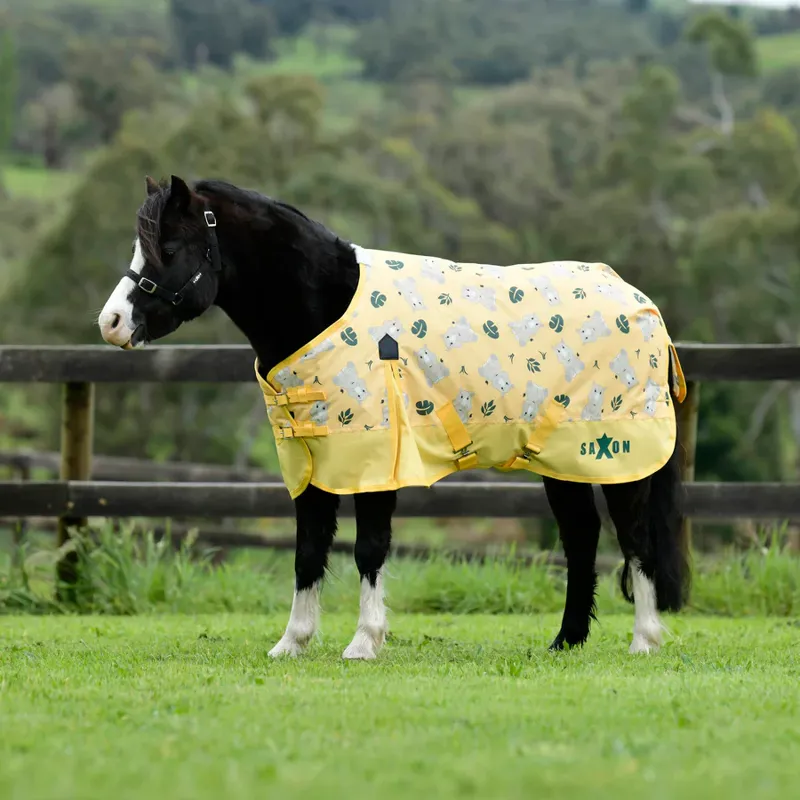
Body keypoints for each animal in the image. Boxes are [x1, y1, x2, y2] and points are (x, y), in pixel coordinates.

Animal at [98, 175, 690, 660]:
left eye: (168, 247)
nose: (112, 322)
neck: (325, 307)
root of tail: (641, 303)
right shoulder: (309, 463)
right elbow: (308, 551)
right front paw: (292, 642)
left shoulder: (376, 461)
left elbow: (369, 549)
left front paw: (364, 642)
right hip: (560, 459)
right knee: (581, 537)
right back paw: (566, 641)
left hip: (619, 457)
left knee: (635, 539)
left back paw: (644, 641)